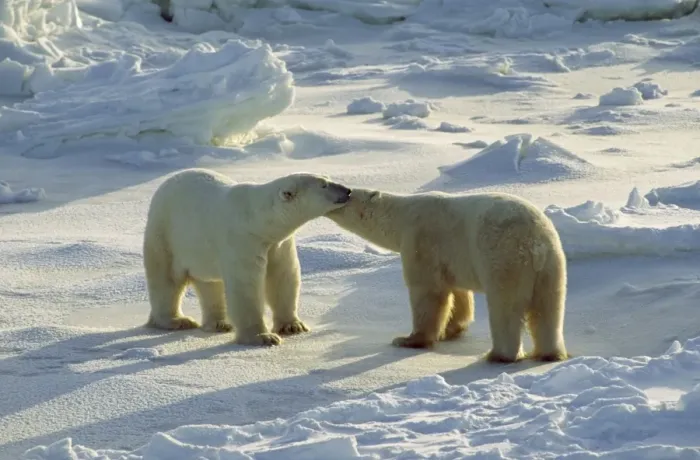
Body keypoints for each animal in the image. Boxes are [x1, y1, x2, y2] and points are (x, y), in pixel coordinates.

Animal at [142, 168, 352, 346]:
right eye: (323, 185)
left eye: (327, 178)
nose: (348, 190)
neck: (257, 221)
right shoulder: (242, 240)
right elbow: (246, 285)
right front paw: (263, 337)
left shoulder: (278, 244)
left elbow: (283, 277)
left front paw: (293, 326)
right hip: (165, 234)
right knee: (166, 280)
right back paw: (176, 320)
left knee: (209, 283)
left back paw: (219, 323)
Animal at [325, 187, 568, 363]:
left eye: (350, 193)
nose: (343, 192)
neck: (402, 215)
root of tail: (535, 245)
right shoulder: (454, 258)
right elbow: (458, 292)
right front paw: (452, 329)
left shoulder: (421, 240)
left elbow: (428, 291)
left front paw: (408, 340)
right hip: (552, 265)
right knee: (549, 309)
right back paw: (550, 353)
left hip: (505, 260)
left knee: (505, 307)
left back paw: (498, 355)